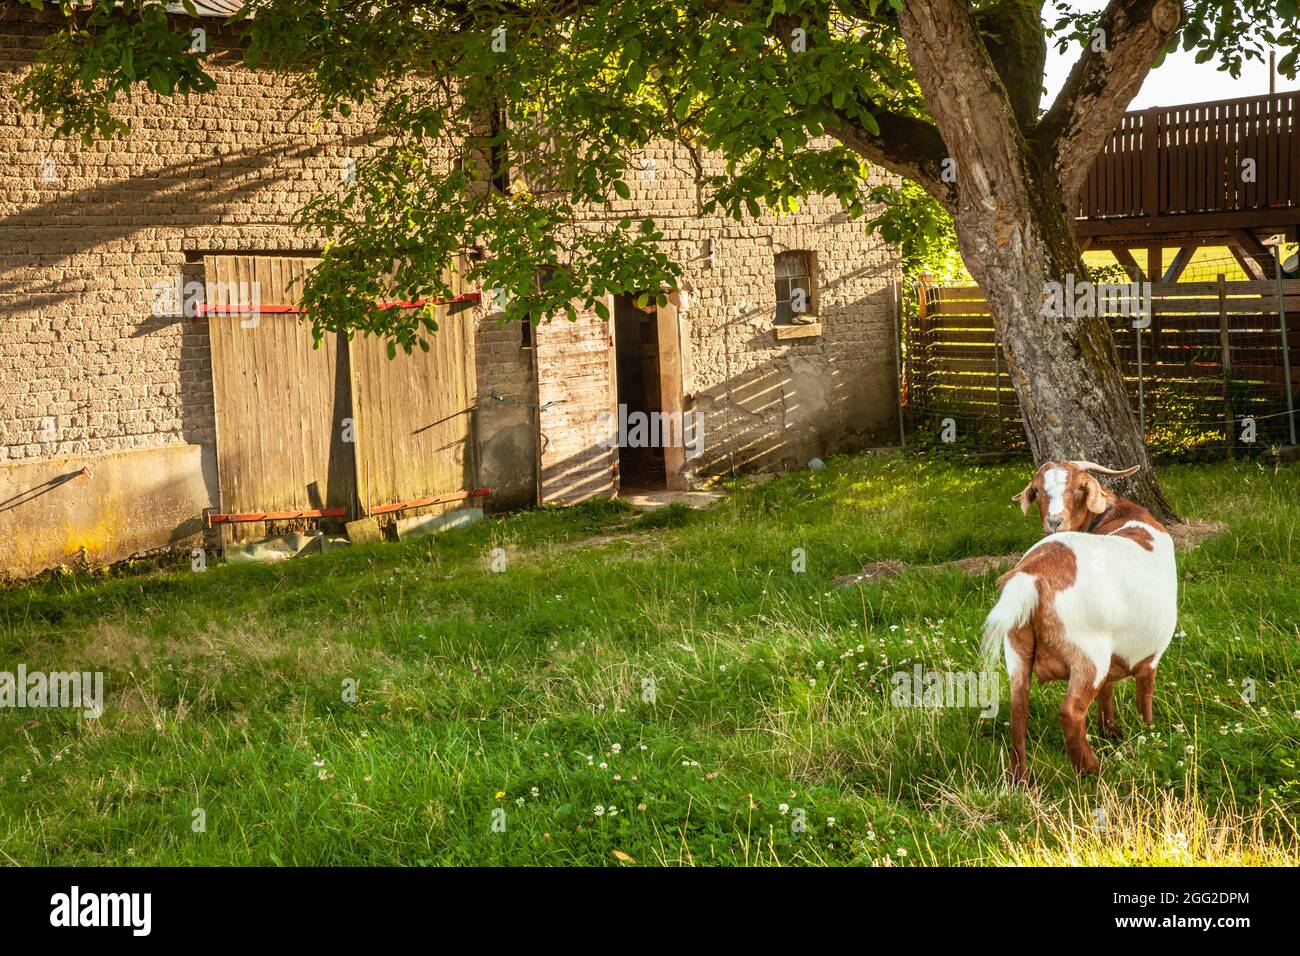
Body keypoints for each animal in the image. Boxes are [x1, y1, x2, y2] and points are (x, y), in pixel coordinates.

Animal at [982, 460, 1180, 780]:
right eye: (1038, 490)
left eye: (1077, 488)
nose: (1054, 521)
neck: (1123, 515)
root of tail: (1031, 576)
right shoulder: (1150, 655)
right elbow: (1144, 694)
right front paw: (1149, 733)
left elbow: (1107, 691)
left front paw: (1110, 730)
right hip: (1088, 654)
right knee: (1070, 712)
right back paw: (1091, 771)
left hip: (1017, 650)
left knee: (1018, 708)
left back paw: (1020, 778)